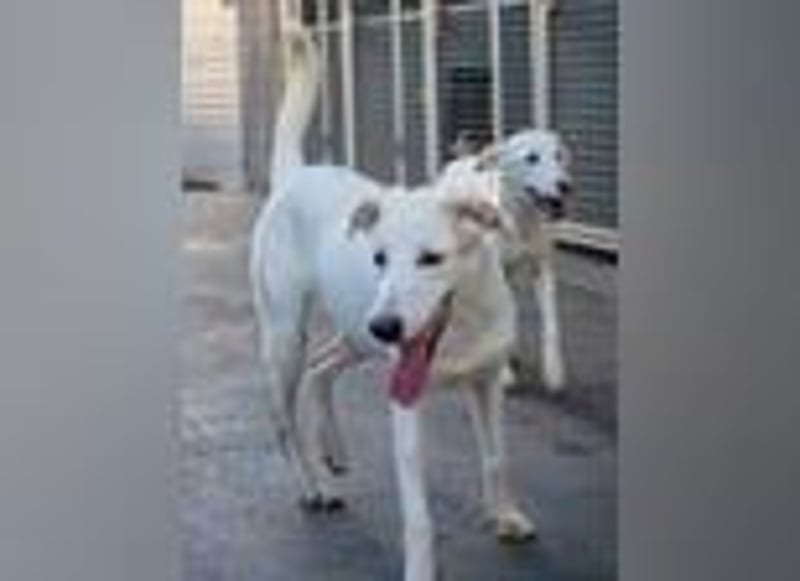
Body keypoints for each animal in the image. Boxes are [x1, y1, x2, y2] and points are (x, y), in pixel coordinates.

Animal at [251, 26, 534, 581]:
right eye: (380, 256)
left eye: (432, 258)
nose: (386, 326)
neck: (461, 324)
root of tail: (295, 175)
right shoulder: (406, 405)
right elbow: (418, 512)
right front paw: (421, 568)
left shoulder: (487, 382)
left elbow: (498, 460)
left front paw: (507, 516)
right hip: (291, 336)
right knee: (284, 419)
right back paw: (314, 484)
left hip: (355, 335)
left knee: (322, 368)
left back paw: (335, 450)